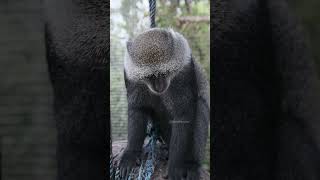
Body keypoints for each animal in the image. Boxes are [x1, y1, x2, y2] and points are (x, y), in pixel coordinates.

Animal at [118, 27, 210, 179]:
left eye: (165, 72)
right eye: (149, 76)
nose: (159, 86)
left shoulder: (184, 69)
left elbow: (183, 115)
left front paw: (175, 168)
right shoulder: (131, 76)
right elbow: (137, 109)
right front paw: (130, 154)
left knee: (201, 108)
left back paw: (192, 164)